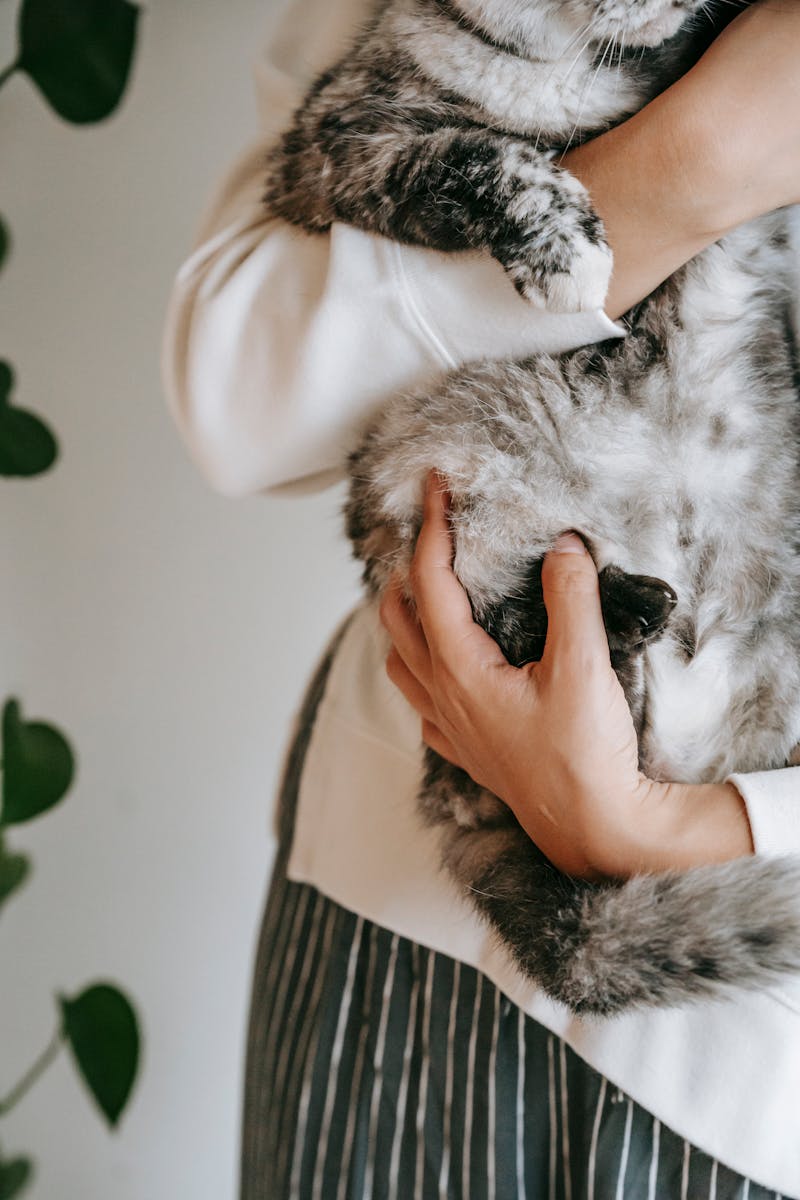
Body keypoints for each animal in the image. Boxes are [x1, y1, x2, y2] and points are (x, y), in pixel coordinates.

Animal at [263, 0, 800, 1012]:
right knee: (523, 631)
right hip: (429, 474)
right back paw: (621, 619)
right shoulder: (332, 147)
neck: (581, 74)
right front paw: (569, 254)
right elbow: (472, 156)